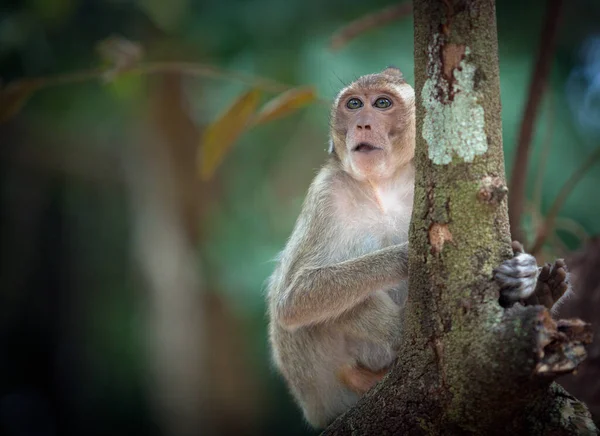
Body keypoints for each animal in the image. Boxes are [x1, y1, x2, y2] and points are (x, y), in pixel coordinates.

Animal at [268, 68, 572, 430]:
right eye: (353, 104)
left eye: (381, 103)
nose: (362, 124)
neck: (380, 186)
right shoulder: (325, 194)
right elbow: (292, 300)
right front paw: (409, 256)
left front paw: (522, 273)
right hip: (321, 388)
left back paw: (540, 294)